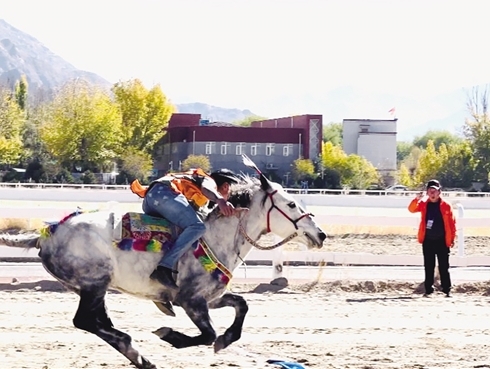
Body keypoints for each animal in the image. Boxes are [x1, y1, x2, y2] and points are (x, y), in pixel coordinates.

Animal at [0, 156, 330, 368]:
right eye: (291, 204)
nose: (321, 234)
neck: (215, 237)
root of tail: (48, 232)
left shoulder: (210, 298)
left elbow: (241, 307)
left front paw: (226, 340)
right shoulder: (191, 300)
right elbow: (207, 334)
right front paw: (171, 335)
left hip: (94, 289)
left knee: (97, 322)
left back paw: (138, 355)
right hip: (95, 283)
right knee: (86, 321)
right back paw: (135, 348)